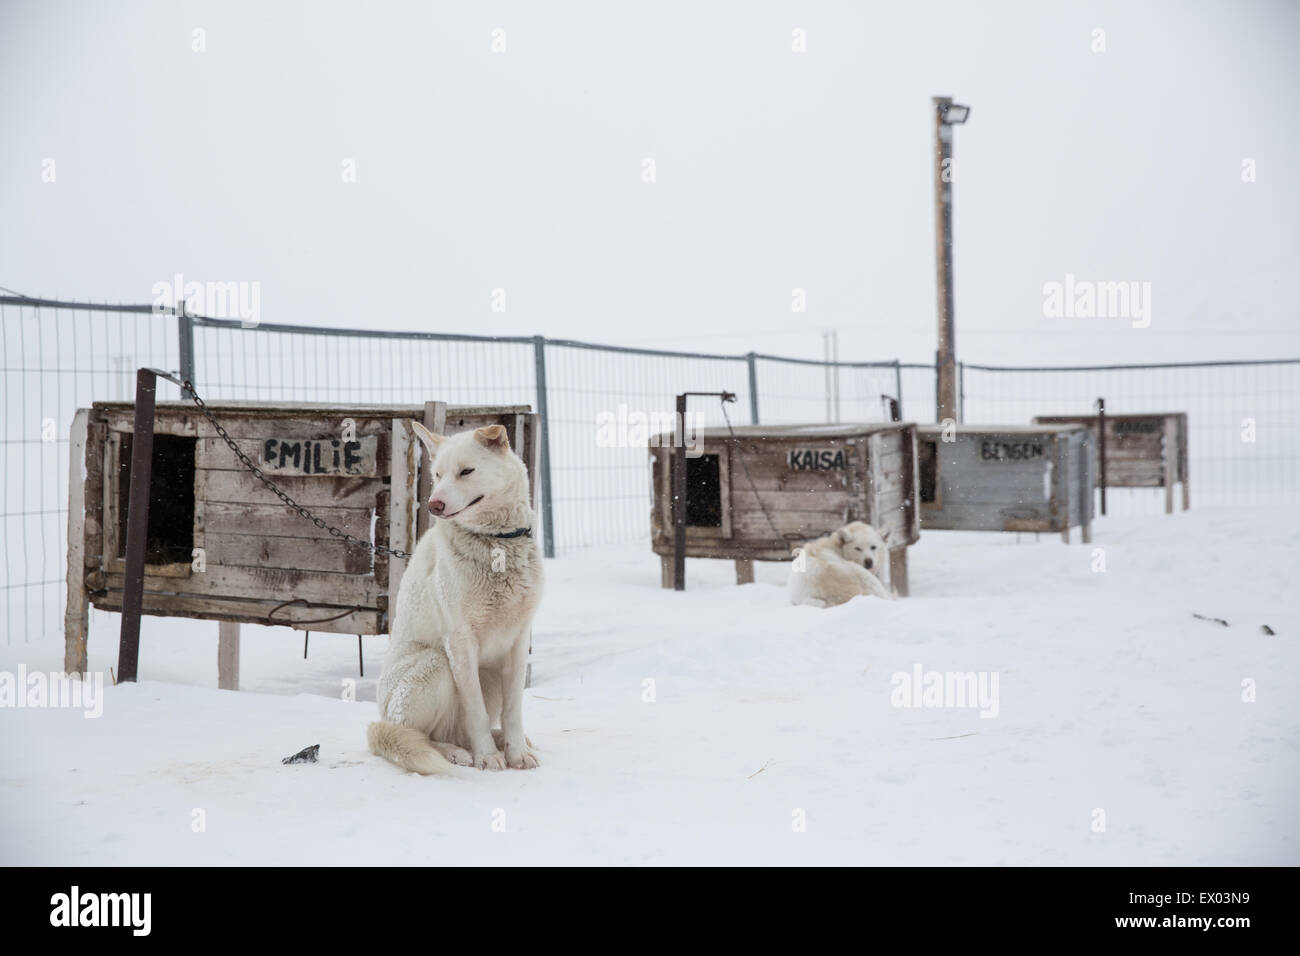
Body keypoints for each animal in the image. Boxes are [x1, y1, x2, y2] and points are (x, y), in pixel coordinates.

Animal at [369, 421, 540, 775]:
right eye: (437, 474)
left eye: (466, 471)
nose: (433, 505)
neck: (494, 543)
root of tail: (381, 718)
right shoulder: (460, 643)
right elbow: (474, 709)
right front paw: (487, 757)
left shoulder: (519, 640)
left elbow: (514, 709)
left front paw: (517, 752)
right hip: (435, 664)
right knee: (420, 735)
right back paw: (457, 753)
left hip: (490, 675)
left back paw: (498, 740)